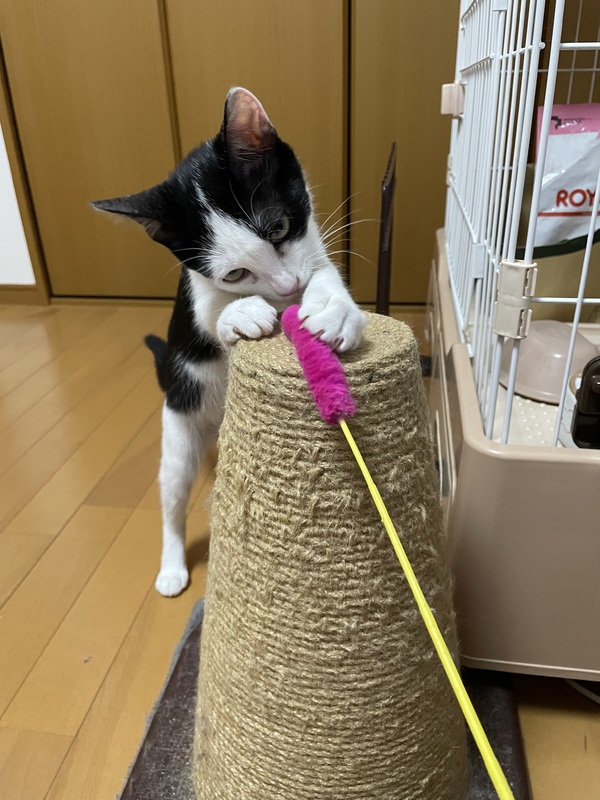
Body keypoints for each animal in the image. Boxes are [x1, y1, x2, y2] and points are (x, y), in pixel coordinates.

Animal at [93, 87, 365, 597]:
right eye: (235, 273)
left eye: (279, 228)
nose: (287, 286)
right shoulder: (196, 290)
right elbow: (209, 312)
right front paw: (242, 312)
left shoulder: (314, 252)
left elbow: (324, 272)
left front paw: (335, 309)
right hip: (180, 429)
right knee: (173, 495)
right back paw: (172, 566)